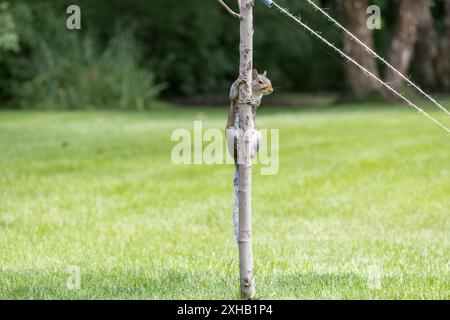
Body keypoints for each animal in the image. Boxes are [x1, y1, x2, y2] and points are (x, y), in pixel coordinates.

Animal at [227, 68, 272, 242]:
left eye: (269, 81)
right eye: (260, 81)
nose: (271, 90)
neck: (254, 92)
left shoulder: (259, 101)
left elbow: (257, 103)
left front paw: (253, 102)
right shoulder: (235, 97)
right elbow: (232, 93)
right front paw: (240, 79)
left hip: (258, 135)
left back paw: (250, 152)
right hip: (230, 133)